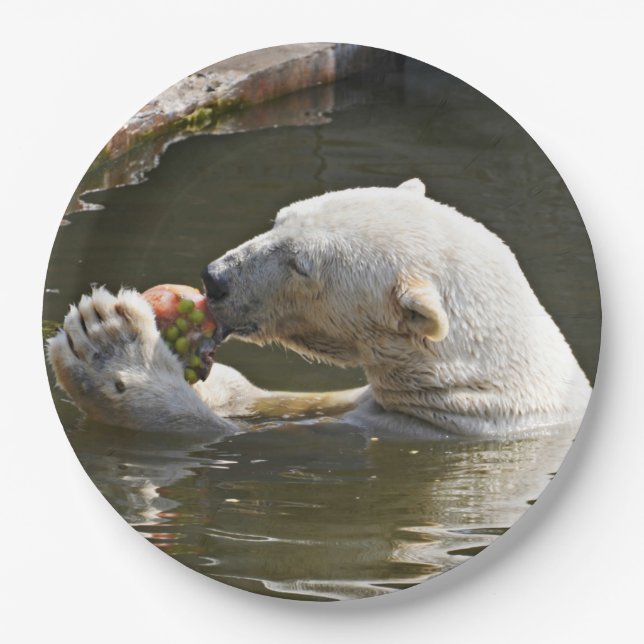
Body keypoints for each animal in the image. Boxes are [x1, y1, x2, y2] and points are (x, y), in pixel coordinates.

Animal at [48, 179, 591, 437]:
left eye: (300, 264)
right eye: (280, 219)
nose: (215, 279)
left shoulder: (416, 429)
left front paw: (106, 346)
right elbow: (272, 401)